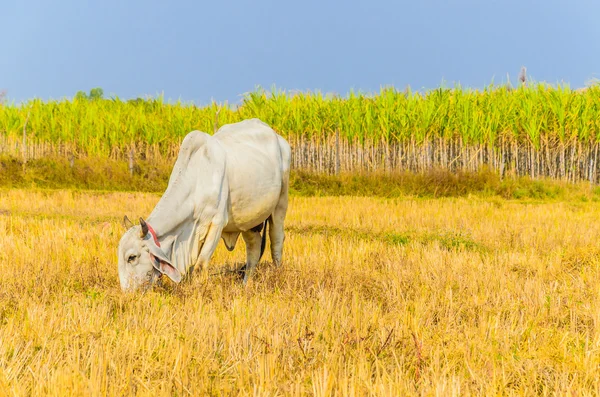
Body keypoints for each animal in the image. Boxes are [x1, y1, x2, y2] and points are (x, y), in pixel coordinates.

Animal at [116, 117, 290, 290]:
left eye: (132, 257)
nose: (127, 293)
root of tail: (280, 139)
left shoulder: (217, 224)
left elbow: (200, 267)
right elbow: (191, 268)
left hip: (280, 204)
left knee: (276, 240)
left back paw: (277, 274)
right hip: (249, 220)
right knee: (253, 248)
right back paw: (245, 284)